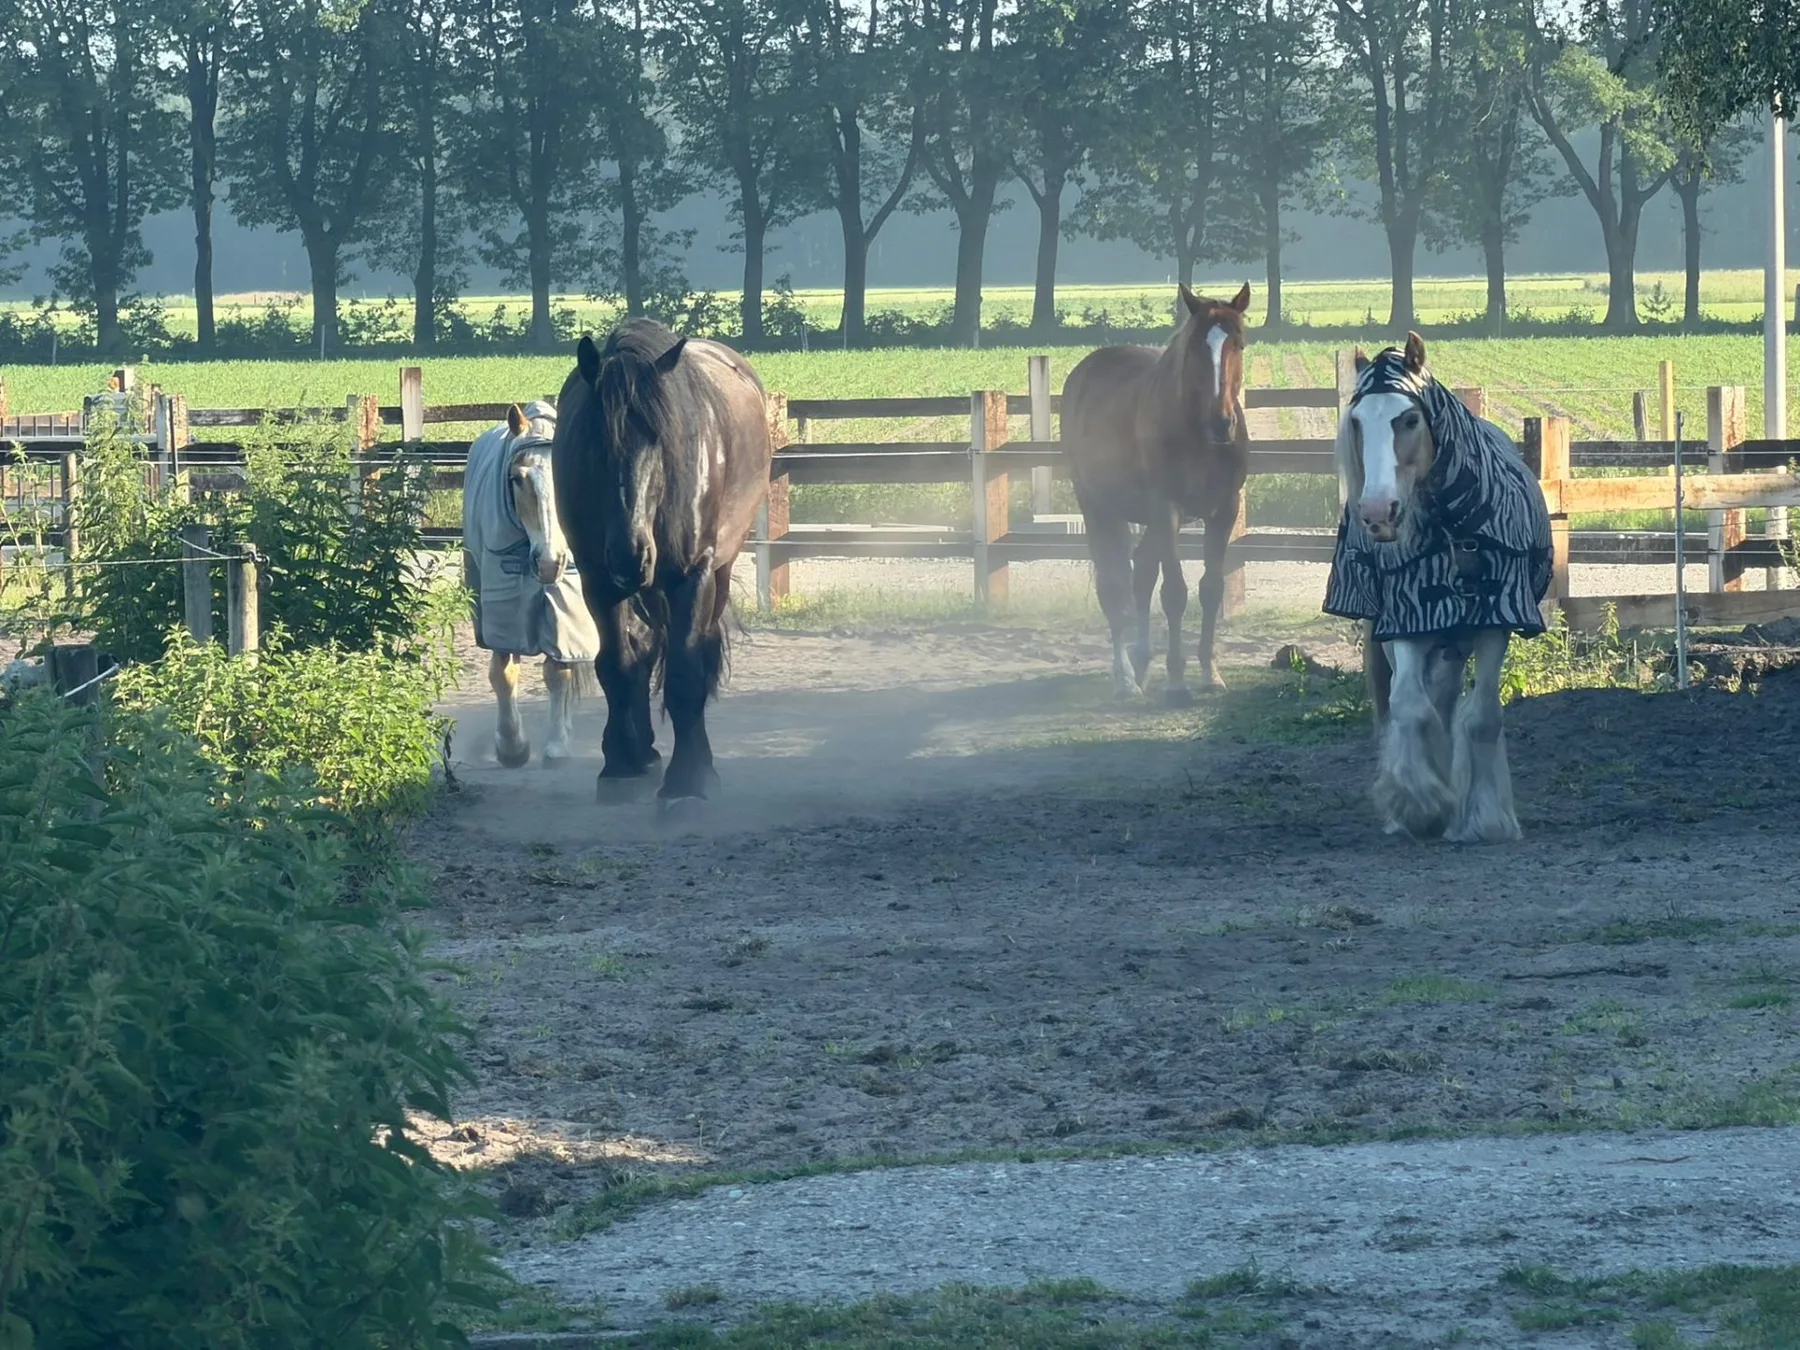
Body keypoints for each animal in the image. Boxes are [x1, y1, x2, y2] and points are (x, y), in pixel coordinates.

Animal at [462, 400, 601, 768]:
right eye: (518, 478)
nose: (549, 562)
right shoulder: (503, 606)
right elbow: (503, 673)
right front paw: (512, 748)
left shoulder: (565, 604)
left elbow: (559, 671)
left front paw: (556, 745)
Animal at [551, 318, 772, 805]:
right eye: (595, 439)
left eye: (661, 438)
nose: (630, 552)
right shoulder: (600, 579)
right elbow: (618, 664)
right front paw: (621, 765)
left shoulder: (693, 574)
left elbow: (687, 675)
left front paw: (689, 780)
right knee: (643, 651)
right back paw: (640, 750)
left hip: (718, 572)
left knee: (698, 651)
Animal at [1060, 282, 1252, 705]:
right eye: (1195, 347)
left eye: (1239, 344)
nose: (1222, 423)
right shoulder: (1168, 509)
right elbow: (1175, 593)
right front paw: (1177, 679)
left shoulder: (1223, 510)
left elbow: (1211, 588)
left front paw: (1210, 672)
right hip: (1098, 508)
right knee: (1114, 587)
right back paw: (1125, 678)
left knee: (1142, 572)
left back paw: (1143, 660)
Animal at [1323, 333, 1553, 844]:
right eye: (1356, 422)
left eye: (1409, 418)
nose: (1377, 513)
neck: (1453, 532)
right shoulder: (1409, 616)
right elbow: (1409, 706)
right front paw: (1420, 805)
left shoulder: (1497, 618)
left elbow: (1483, 718)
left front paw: (1486, 819)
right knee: (1421, 702)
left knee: (1448, 703)